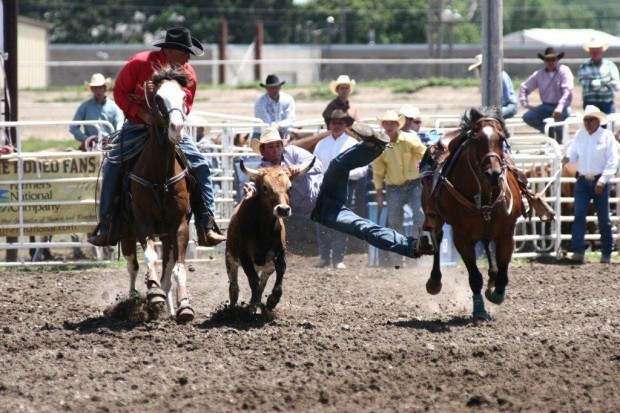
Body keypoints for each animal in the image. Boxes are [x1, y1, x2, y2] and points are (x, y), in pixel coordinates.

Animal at [117, 66, 193, 322]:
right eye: (158, 98)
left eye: (184, 97)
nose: (177, 129)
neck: (160, 177)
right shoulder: (142, 222)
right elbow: (149, 257)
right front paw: (153, 294)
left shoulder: (179, 225)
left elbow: (178, 269)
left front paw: (184, 306)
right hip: (126, 232)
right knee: (132, 266)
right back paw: (134, 300)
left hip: (167, 236)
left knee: (167, 272)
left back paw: (168, 306)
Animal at [418, 107, 524, 318]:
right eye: (476, 139)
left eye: (501, 138)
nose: (493, 174)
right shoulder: (462, 237)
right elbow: (474, 277)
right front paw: (479, 309)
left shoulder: (506, 235)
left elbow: (503, 274)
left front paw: (496, 293)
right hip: (436, 217)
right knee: (437, 238)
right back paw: (434, 282)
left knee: (486, 243)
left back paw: (492, 277)